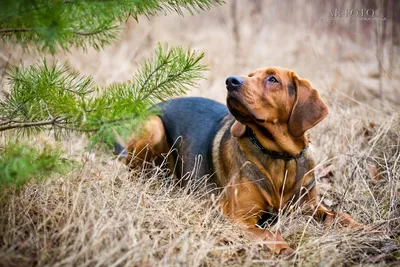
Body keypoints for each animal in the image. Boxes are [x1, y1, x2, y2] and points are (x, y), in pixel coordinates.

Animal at [119, 66, 362, 255]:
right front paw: (286, 250)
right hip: (154, 127)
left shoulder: (309, 205)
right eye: (251, 75)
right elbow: (270, 233)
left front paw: (364, 228)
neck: (278, 156)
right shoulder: (238, 218)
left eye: (272, 79)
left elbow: (342, 216)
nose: (230, 81)